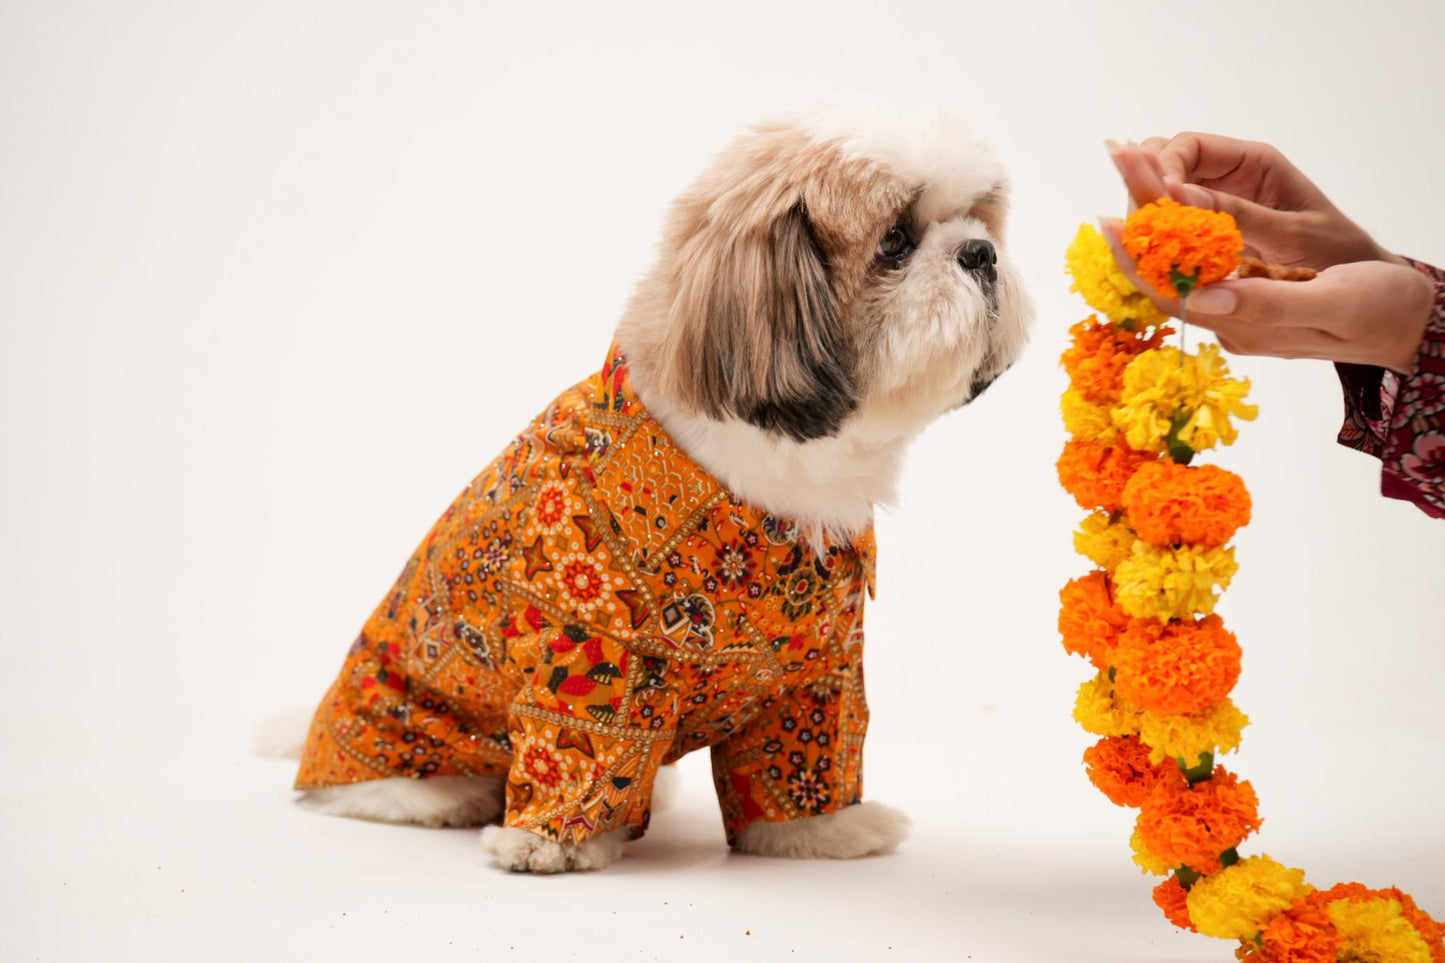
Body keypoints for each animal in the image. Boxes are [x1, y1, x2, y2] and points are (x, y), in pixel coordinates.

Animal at [271, 107, 1034, 867]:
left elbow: (801, 759)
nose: (980, 254)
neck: (773, 482)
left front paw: (819, 832)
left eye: (978, 221)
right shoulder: (588, 641)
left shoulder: (818, 672)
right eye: (895, 243)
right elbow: (575, 743)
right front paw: (543, 844)